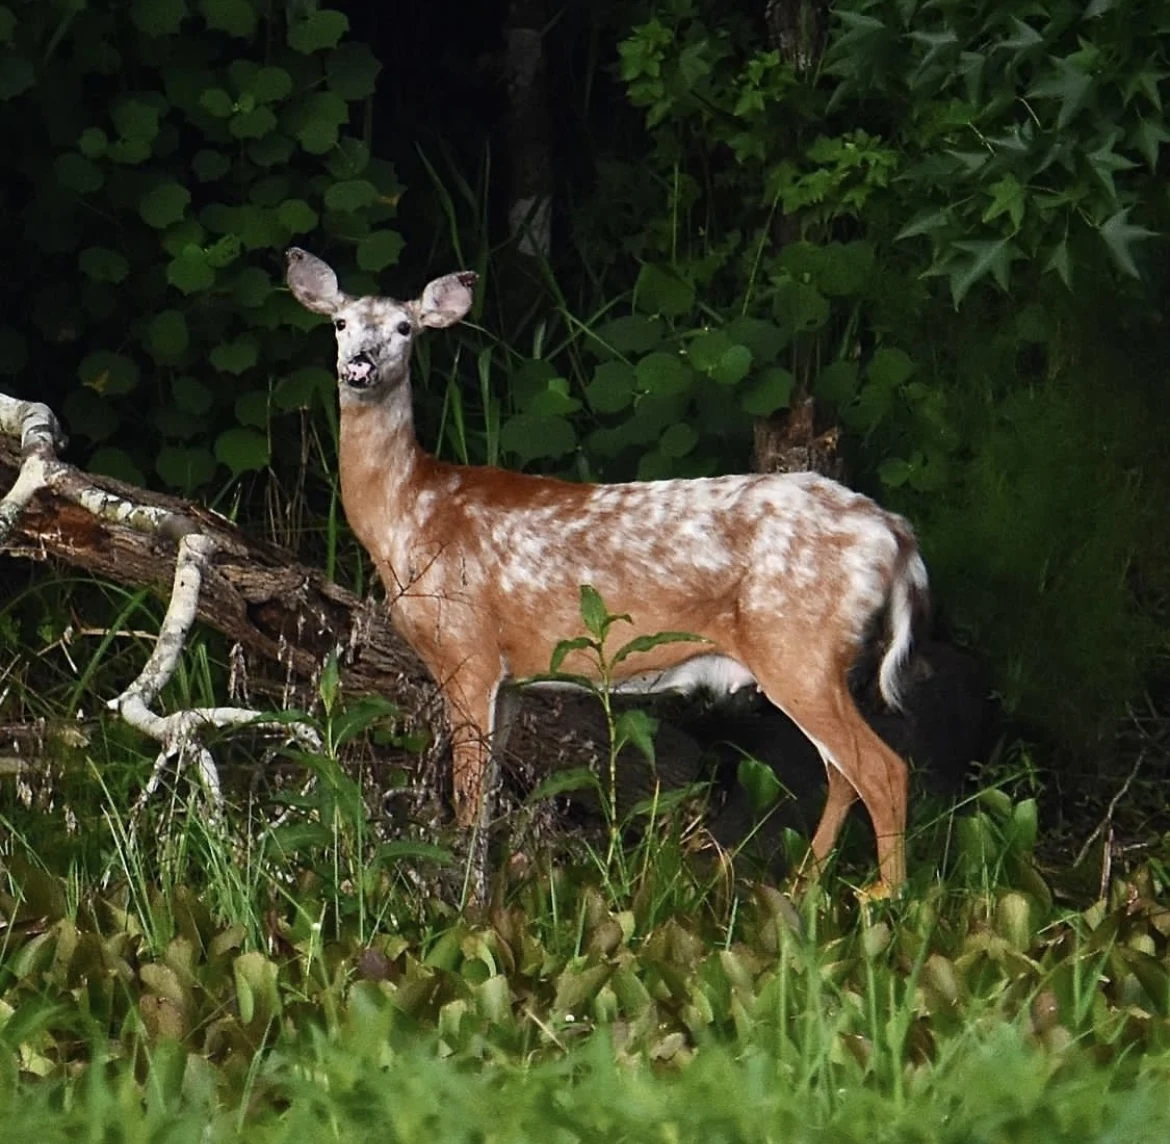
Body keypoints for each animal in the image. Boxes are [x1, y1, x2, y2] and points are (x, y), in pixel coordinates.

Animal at [285, 247, 929, 895]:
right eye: (340, 323)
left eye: (404, 328)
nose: (360, 365)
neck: (409, 513)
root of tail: (893, 530)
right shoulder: (509, 676)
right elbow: (489, 795)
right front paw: (484, 891)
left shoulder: (466, 649)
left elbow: (469, 795)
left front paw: (466, 899)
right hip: (815, 657)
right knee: (843, 773)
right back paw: (806, 885)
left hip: (797, 645)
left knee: (883, 769)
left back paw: (883, 898)